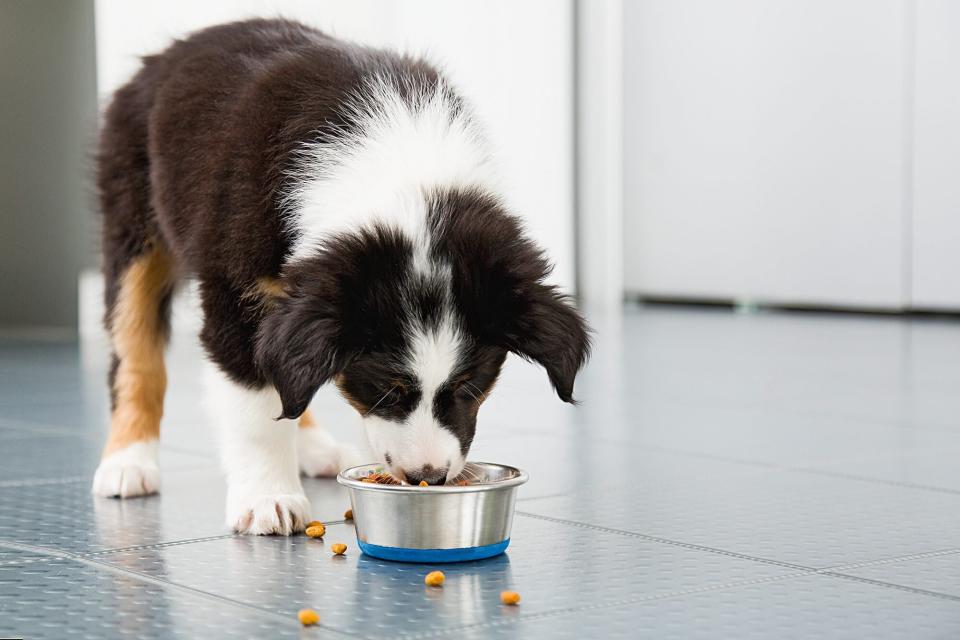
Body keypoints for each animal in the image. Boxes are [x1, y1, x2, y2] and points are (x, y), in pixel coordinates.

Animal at [94, 18, 588, 536]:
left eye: (470, 385)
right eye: (388, 388)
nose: (429, 477)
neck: (402, 177)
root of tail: (171, 51)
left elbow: (287, 376)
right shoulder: (236, 293)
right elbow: (255, 407)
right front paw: (268, 499)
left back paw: (317, 449)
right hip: (132, 220)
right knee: (136, 353)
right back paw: (127, 463)